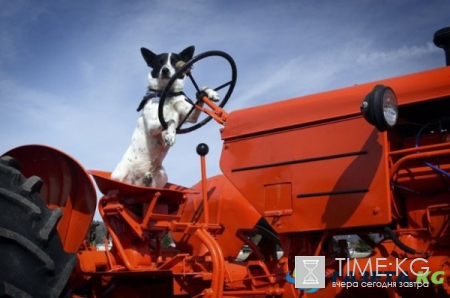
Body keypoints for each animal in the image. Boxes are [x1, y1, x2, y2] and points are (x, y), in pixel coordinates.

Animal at [111, 45, 219, 187]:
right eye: (159, 62)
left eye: (175, 61)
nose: (165, 70)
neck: (168, 93)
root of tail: (136, 183)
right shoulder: (152, 125)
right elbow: (171, 120)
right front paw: (170, 135)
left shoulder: (190, 116)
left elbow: (201, 91)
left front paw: (210, 93)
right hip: (118, 174)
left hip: (162, 175)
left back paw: (147, 179)